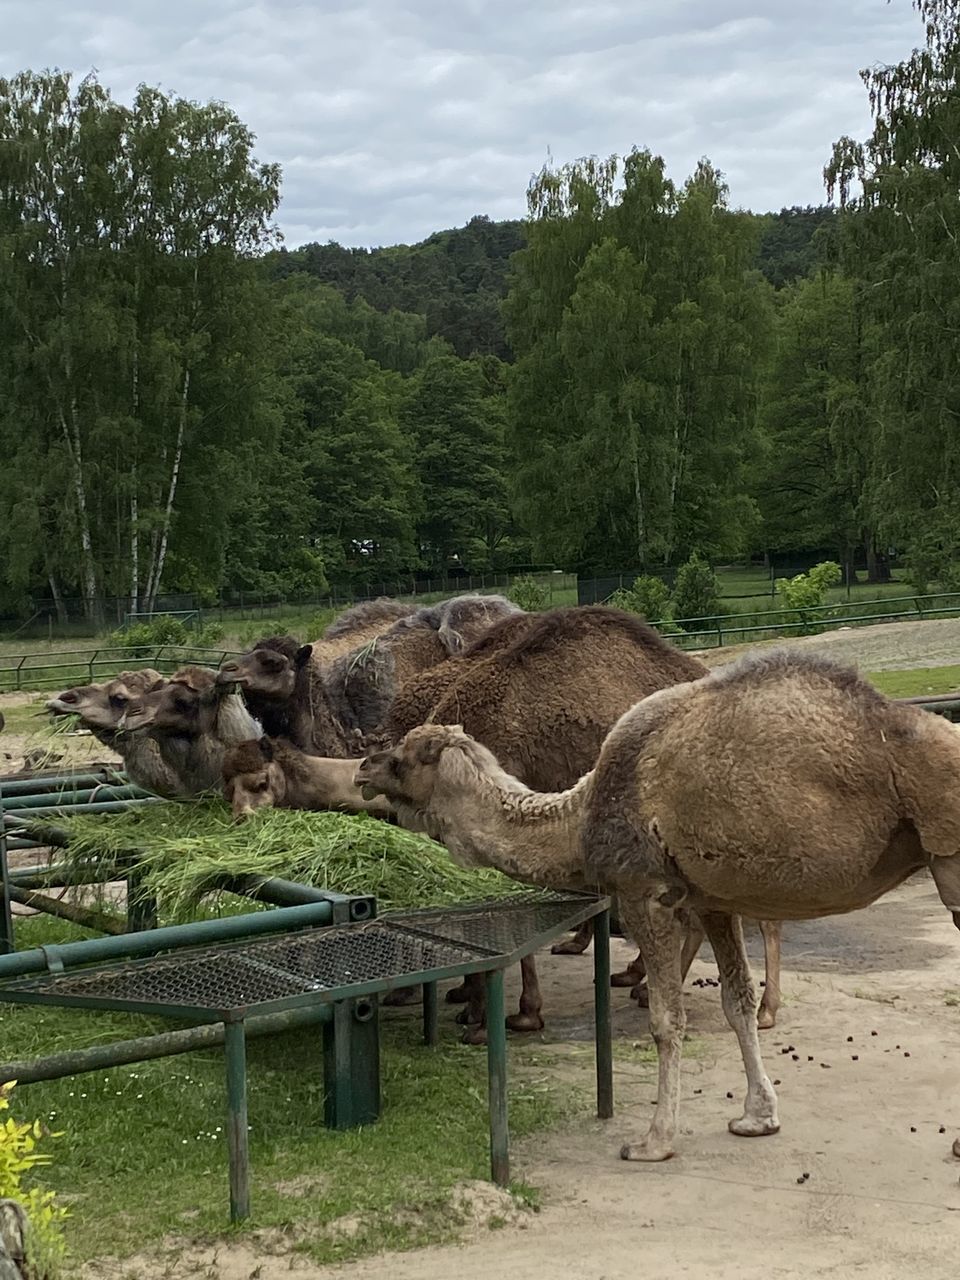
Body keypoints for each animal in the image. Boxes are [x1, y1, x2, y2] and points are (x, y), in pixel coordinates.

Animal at [355, 655, 960, 1167]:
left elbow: (667, 1021)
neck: (578, 817)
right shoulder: (712, 899)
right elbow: (737, 1002)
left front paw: (652, 1142)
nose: (362, 768)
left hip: (948, 855)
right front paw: (757, 1117)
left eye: (403, 757)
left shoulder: (644, 892)